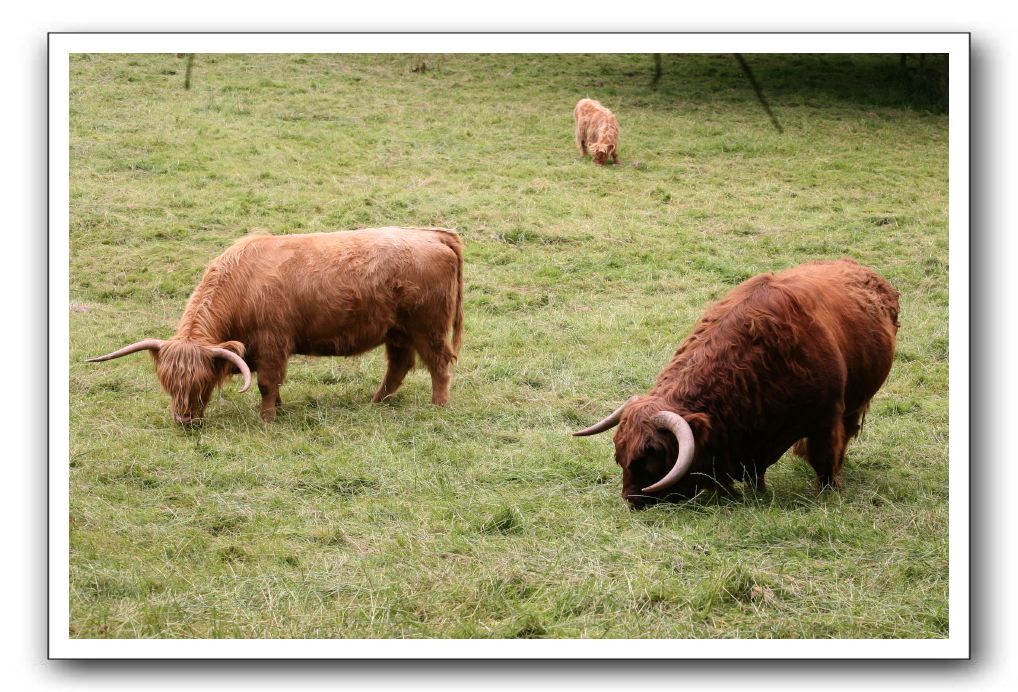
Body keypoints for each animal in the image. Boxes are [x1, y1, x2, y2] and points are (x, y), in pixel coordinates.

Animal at [87, 226, 466, 425]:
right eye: (167, 382)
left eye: (202, 381)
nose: (185, 420)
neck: (241, 284)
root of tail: (432, 234)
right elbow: (273, 384)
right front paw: (279, 408)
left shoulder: (272, 344)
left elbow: (267, 383)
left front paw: (267, 417)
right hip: (397, 331)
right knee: (399, 365)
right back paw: (377, 402)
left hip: (427, 327)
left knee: (439, 364)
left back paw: (439, 405)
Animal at [574, 259, 899, 508]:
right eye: (620, 454)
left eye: (650, 458)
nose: (631, 500)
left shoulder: (826, 417)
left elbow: (825, 458)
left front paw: (831, 491)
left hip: (855, 403)